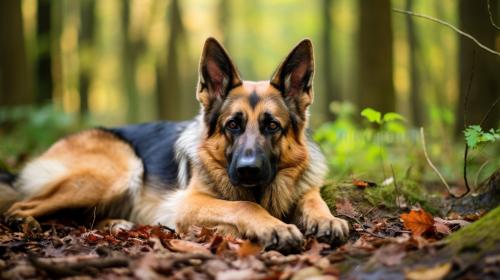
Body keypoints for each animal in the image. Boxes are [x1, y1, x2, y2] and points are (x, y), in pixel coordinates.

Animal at [0, 37, 348, 254]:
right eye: (232, 125)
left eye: (272, 126)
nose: (248, 170)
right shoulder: (187, 203)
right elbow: (244, 205)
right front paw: (273, 226)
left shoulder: (305, 187)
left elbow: (313, 198)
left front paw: (327, 219)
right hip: (120, 170)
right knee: (21, 205)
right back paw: (23, 221)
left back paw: (117, 223)